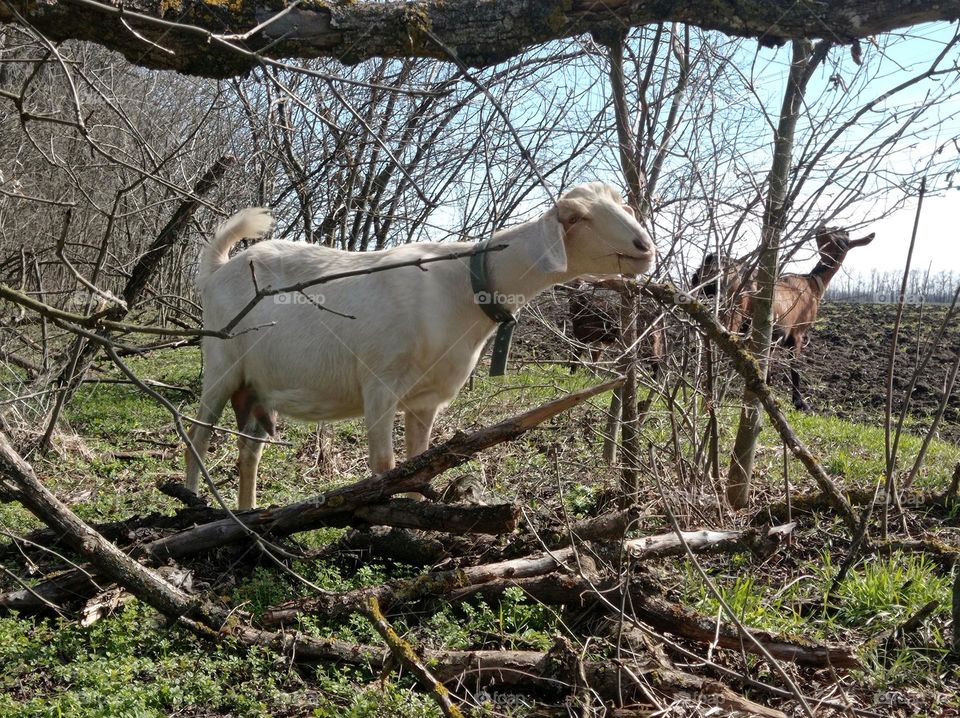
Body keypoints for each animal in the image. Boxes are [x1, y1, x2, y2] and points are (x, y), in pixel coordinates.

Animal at [184, 186, 656, 512]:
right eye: (576, 217)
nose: (644, 247)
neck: (461, 285)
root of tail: (218, 268)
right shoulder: (380, 383)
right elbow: (385, 465)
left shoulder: (426, 399)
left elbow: (417, 463)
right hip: (221, 363)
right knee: (198, 436)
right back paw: (189, 506)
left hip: (260, 385)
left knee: (249, 450)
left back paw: (248, 514)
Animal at [692, 228, 872, 414]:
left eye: (841, 236)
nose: (820, 229)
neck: (813, 286)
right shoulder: (797, 334)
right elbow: (795, 368)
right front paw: (800, 403)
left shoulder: (772, 337)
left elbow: (767, 368)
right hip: (731, 315)